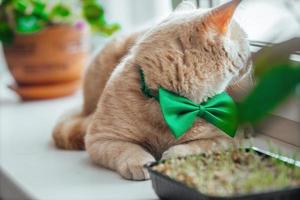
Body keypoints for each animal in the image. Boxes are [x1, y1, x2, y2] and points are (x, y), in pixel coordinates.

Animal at [52, 0, 253, 180]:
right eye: (246, 48)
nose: (252, 60)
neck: (167, 104)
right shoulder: (101, 138)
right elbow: (127, 149)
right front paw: (140, 162)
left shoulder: (226, 138)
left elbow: (194, 147)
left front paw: (172, 157)